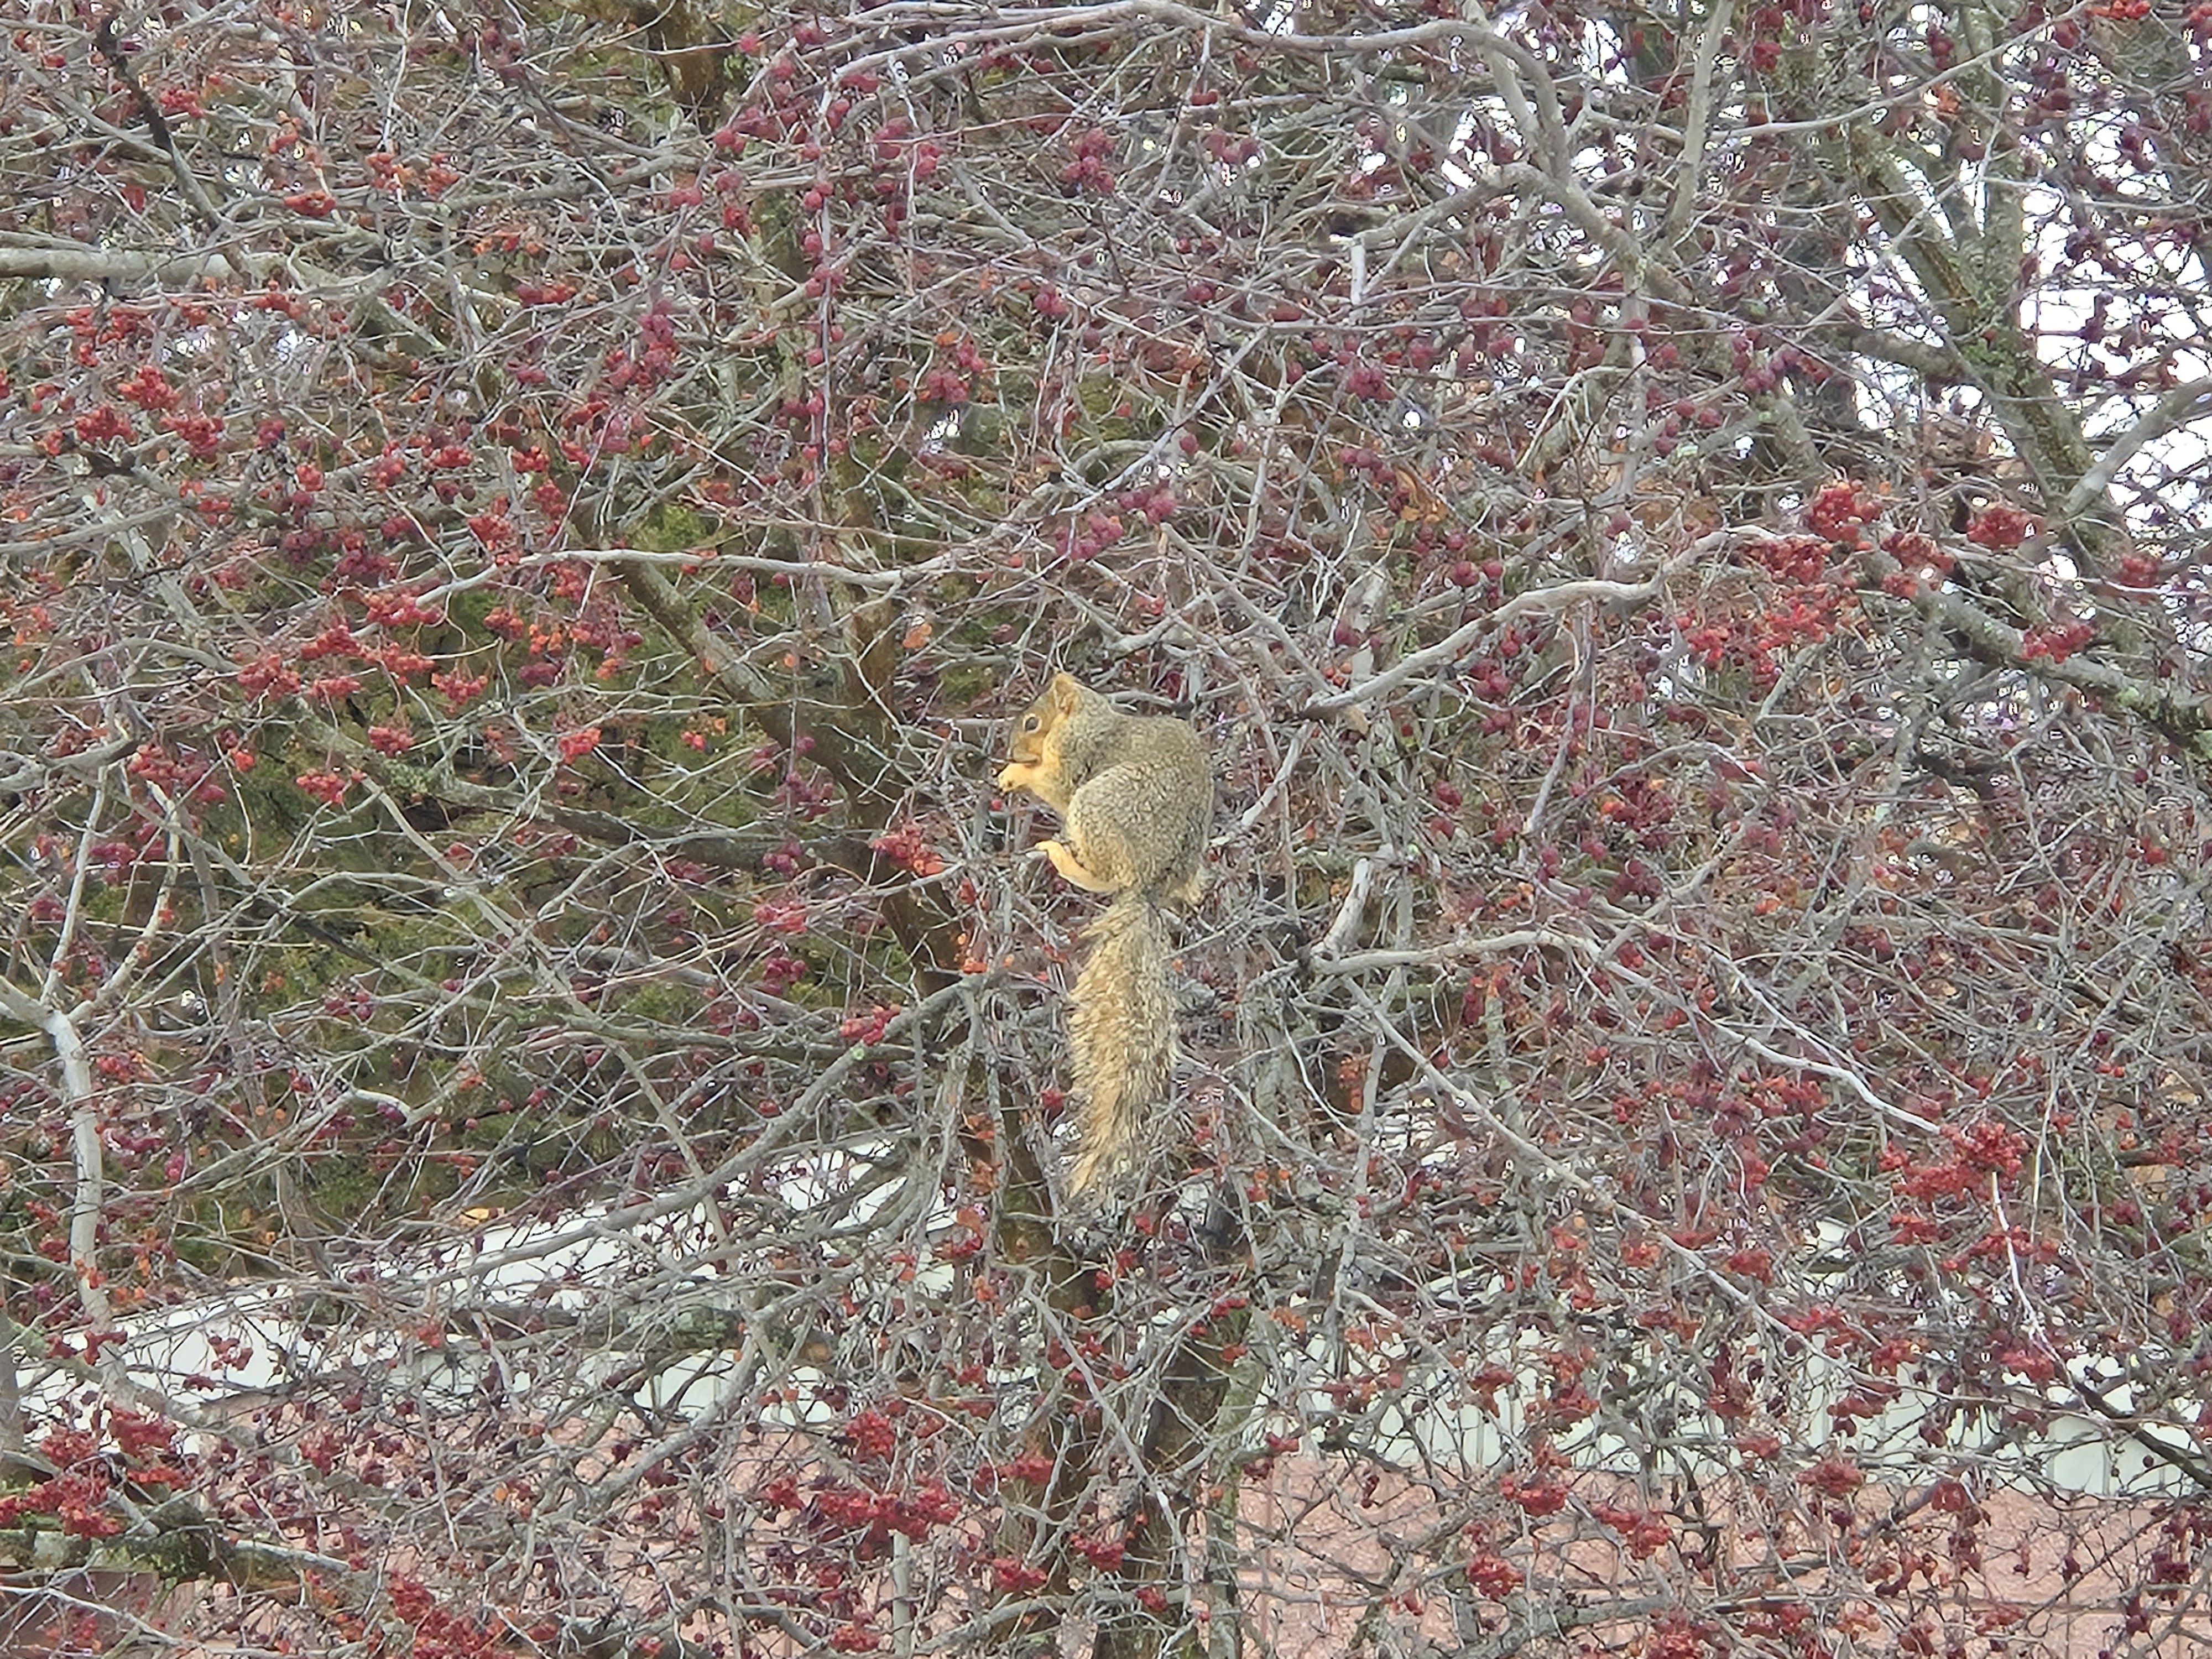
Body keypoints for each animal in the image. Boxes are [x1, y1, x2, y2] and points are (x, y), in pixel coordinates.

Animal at [1000, 672, 1212, 1194]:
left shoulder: (1076, 759)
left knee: (1108, 873)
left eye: (1032, 723)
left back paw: (1064, 858)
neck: (1091, 719)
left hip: (1100, 804)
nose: (1011, 750)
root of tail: (1153, 885)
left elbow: (1054, 783)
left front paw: (1016, 777)